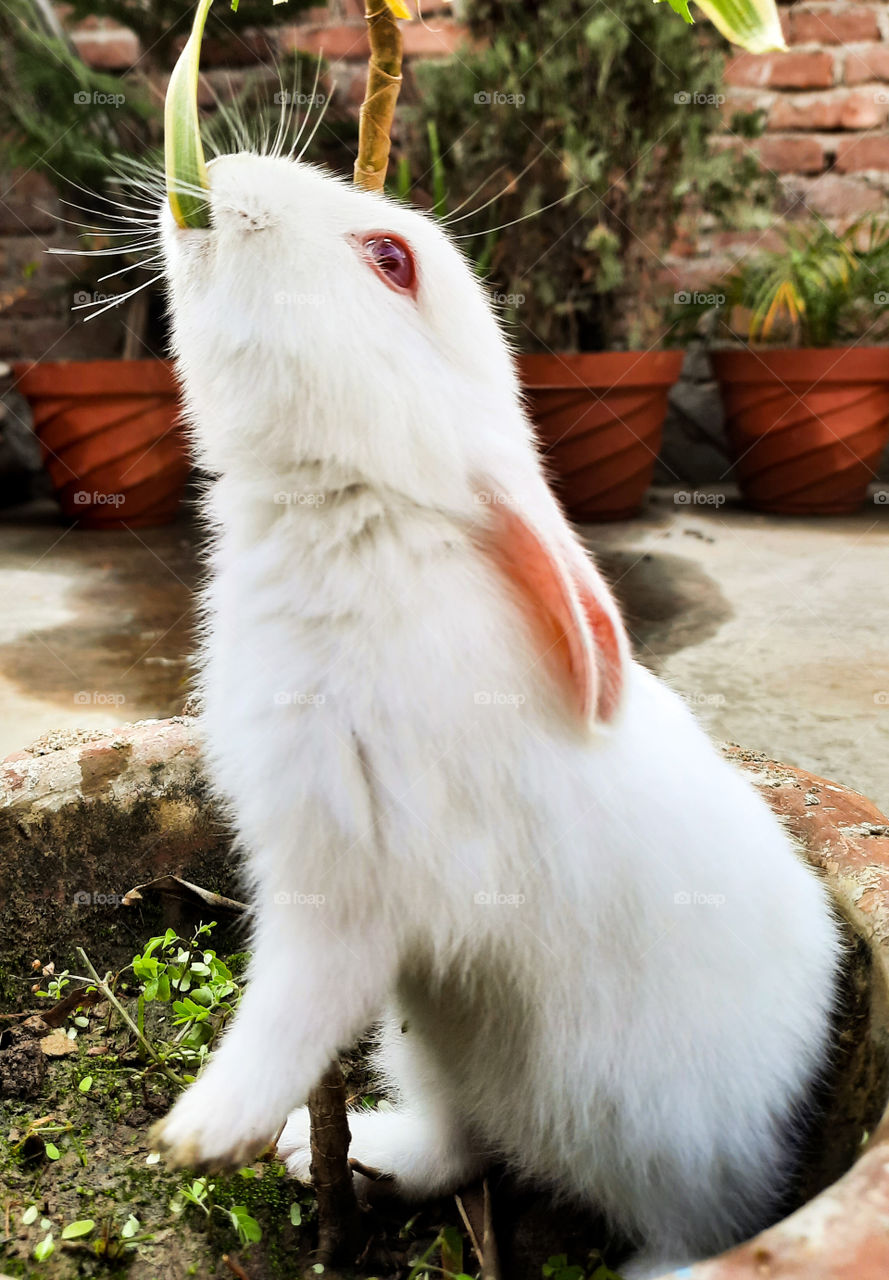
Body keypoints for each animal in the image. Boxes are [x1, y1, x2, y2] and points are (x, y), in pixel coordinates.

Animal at [151, 151, 842, 1279]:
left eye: (390, 260)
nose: (216, 169)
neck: (367, 516)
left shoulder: (353, 880)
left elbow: (292, 1003)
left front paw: (205, 1128)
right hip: (434, 1034)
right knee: (457, 1146)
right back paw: (336, 1153)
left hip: (653, 1134)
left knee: (681, 1224)